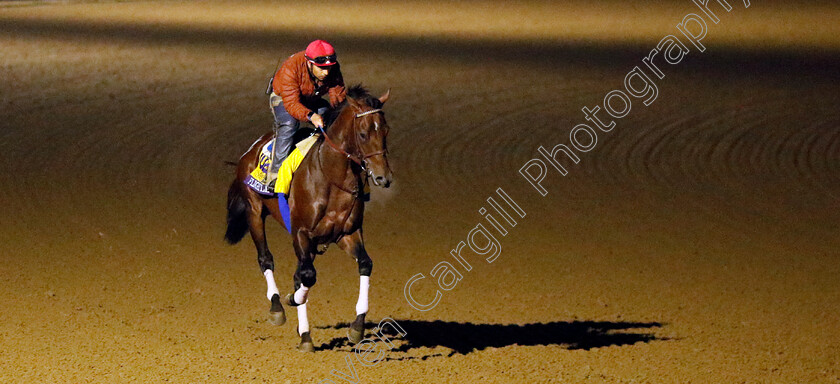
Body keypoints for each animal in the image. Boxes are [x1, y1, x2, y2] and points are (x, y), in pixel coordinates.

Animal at [223, 85, 394, 352]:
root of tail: (251, 150)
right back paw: (278, 308)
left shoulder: (347, 233)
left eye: (385, 131)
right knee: (266, 259)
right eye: (364, 133)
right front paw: (295, 314)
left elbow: (364, 264)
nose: (383, 177)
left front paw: (357, 327)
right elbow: (306, 276)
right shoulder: (301, 233)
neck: (332, 177)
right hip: (254, 212)